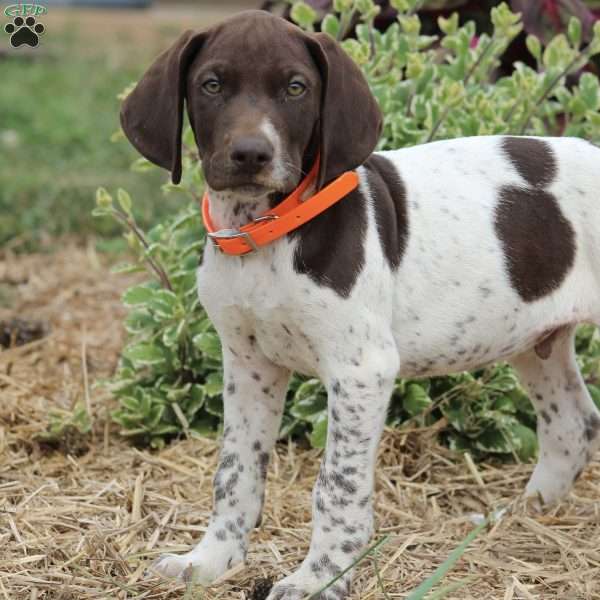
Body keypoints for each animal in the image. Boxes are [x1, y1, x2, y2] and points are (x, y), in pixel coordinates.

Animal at [120, 9, 600, 600]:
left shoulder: (360, 370)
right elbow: (235, 471)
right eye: (211, 85)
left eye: (296, 88)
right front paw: (211, 560)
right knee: (573, 427)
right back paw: (514, 517)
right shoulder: (248, 364)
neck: (268, 232)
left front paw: (319, 578)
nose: (252, 154)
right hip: (538, 343)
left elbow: (337, 486)